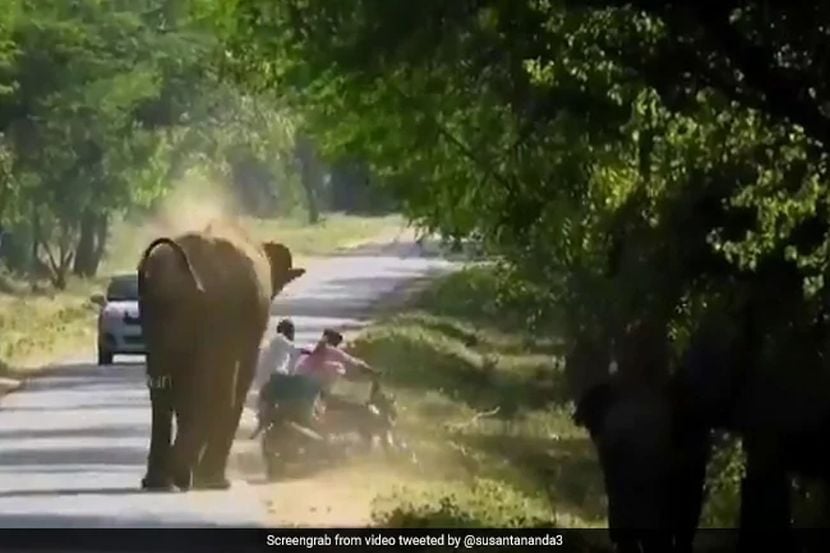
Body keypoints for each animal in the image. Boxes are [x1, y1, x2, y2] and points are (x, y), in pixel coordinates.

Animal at [136, 222, 306, 490]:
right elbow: (239, 378)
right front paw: (212, 481)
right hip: (217, 311)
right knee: (212, 387)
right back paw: (190, 478)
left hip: (158, 312)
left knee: (162, 387)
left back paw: (160, 481)